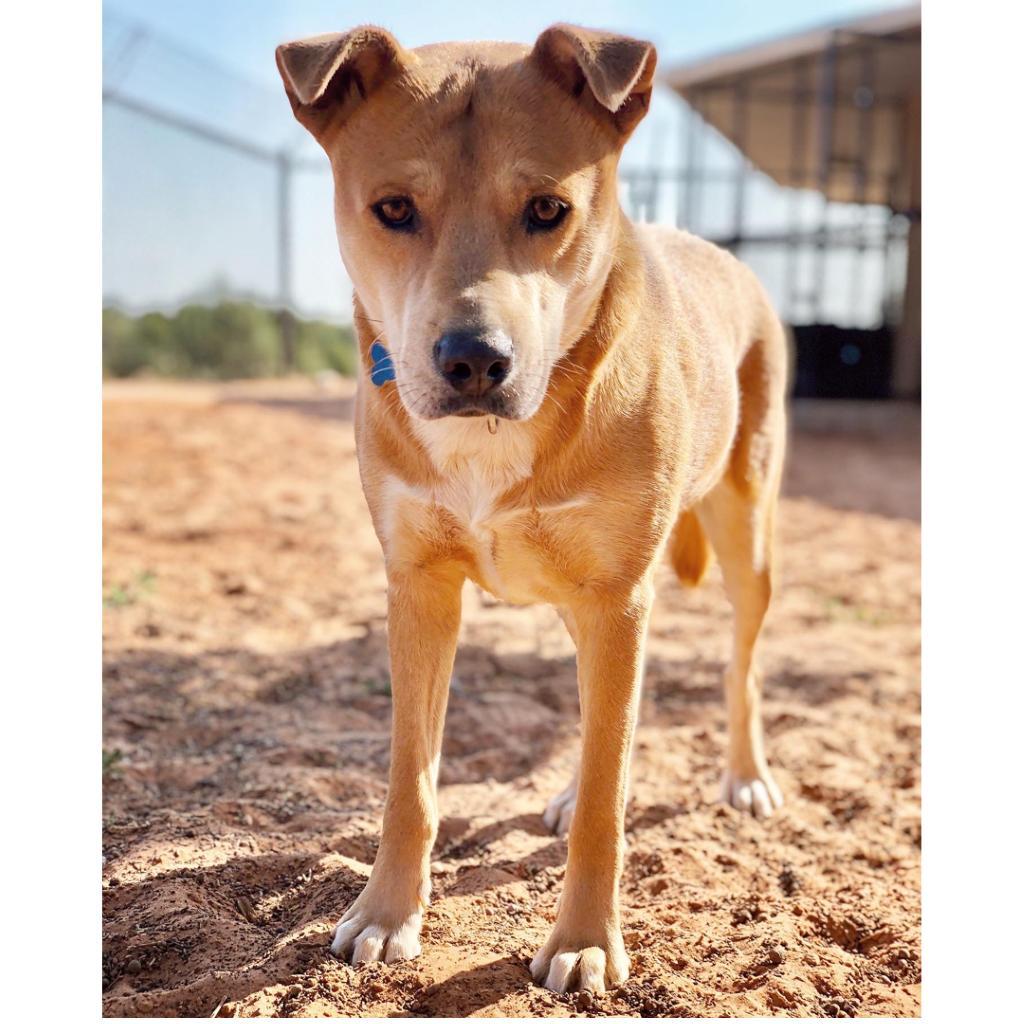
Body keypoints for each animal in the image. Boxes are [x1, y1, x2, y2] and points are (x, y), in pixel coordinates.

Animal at [276, 24, 786, 995]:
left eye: (548, 209)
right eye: (394, 208)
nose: (475, 359)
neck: (489, 437)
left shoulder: (618, 596)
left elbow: (605, 806)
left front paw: (584, 939)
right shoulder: (419, 585)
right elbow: (410, 780)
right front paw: (386, 913)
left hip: (744, 532)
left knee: (736, 665)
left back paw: (745, 778)